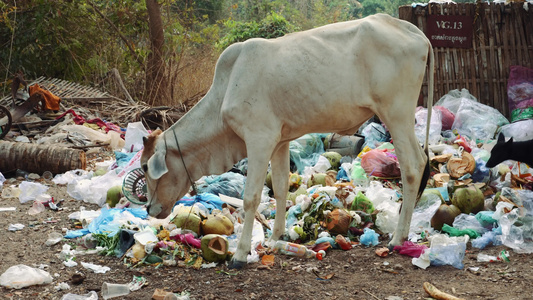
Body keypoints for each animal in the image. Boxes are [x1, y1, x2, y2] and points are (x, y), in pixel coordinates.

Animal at [140, 12, 432, 268]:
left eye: (145, 167)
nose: (150, 208)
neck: (227, 88)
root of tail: (414, 31)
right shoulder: (279, 141)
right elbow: (280, 188)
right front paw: (275, 237)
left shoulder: (259, 139)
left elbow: (251, 197)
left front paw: (241, 254)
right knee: (420, 162)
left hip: (396, 114)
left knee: (413, 167)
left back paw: (397, 238)